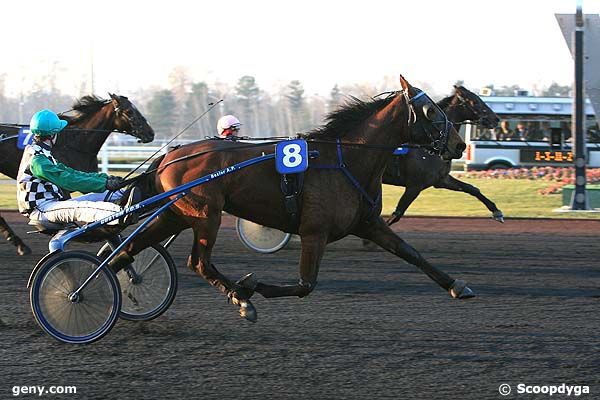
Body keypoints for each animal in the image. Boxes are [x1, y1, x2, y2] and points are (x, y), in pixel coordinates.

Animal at [110, 75, 472, 324]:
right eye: (430, 110)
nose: (458, 144)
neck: (345, 160)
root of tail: (170, 156)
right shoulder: (315, 232)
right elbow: (305, 285)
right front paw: (250, 287)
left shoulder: (368, 223)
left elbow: (411, 253)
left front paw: (457, 285)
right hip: (205, 216)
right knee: (198, 262)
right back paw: (241, 299)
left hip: (174, 215)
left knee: (128, 250)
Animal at [382, 85, 504, 227]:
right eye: (475, 101)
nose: (495, 119)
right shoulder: (414, 186)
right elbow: (396, 214)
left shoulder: (441, 179)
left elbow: (472, 188)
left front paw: (496, 211)